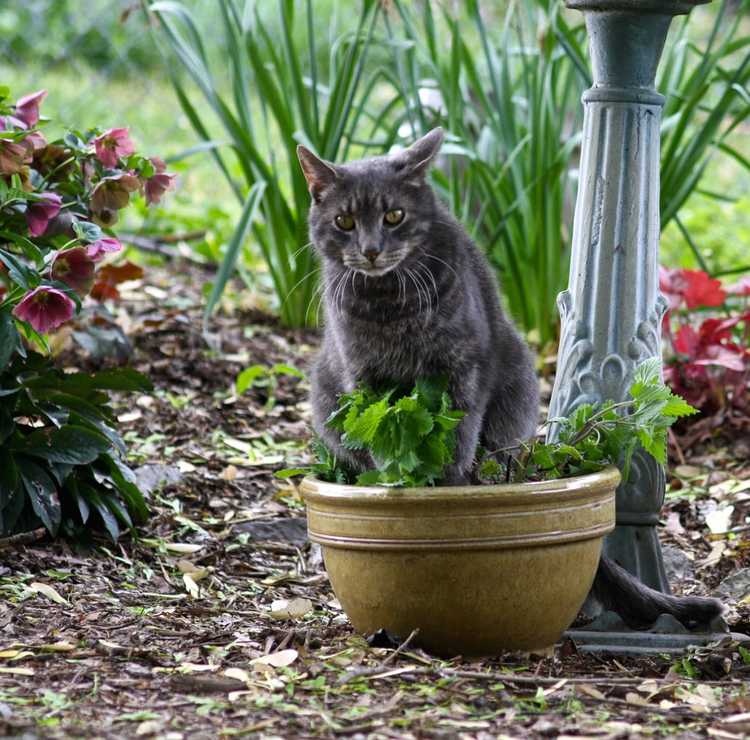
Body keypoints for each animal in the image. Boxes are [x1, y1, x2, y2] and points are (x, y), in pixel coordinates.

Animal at [296, 130, 724, 628]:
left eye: (394, 216)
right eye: (344, 221)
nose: (370, 249)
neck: (389, 305)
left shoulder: (462, 369)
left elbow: (457, 440)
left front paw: (444, 491)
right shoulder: (364, 380)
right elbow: (385, 442)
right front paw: (401, 483)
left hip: (515, 377)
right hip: (327, 394)